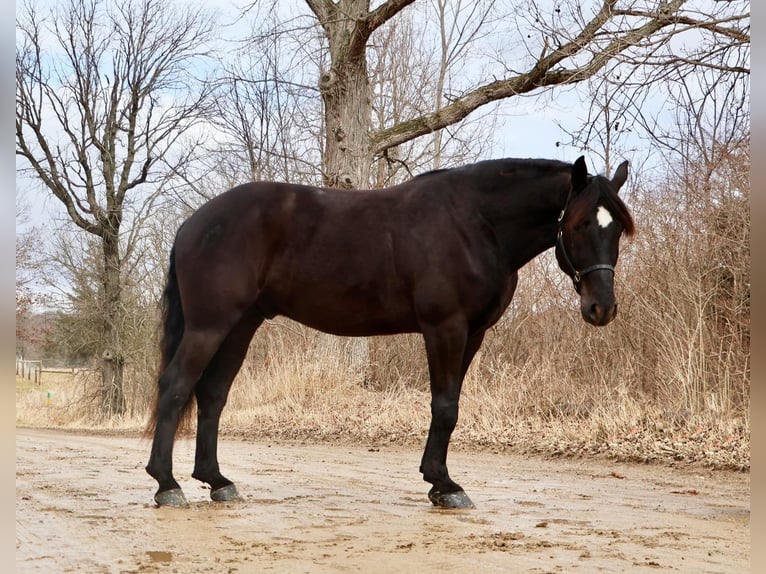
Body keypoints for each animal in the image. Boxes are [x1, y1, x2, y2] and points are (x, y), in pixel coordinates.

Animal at [145, 156, 635, 509]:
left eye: (618, 229)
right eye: (579, 224)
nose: (602, 308)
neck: (475, 223)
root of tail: (193, 223)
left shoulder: (473, 334)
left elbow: (452, 405)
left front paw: (438, 483)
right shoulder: (444, 328)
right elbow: (445, 406)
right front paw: (445, 485)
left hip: (241, 325)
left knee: (212, 395)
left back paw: (216, 481)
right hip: (210, 325)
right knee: (175, 386)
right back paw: (167, 485)